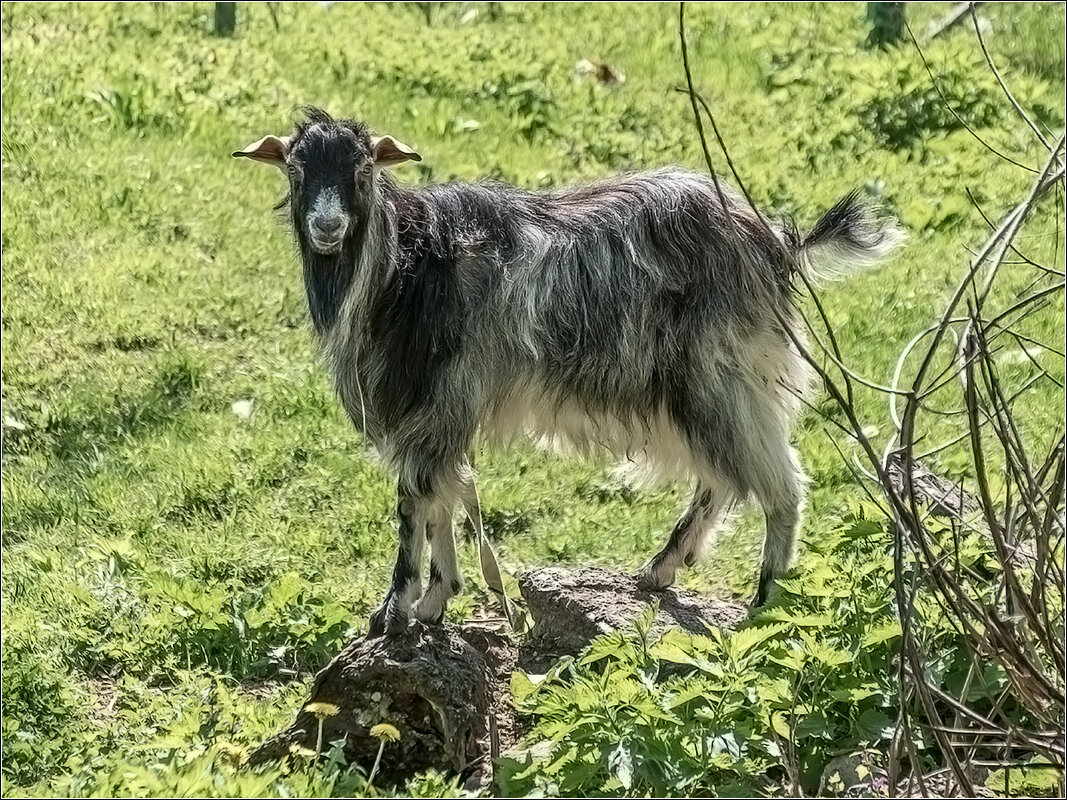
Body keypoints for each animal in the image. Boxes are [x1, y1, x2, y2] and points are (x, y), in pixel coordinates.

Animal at [233, 108, 900, 640]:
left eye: (364, 170)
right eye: (296, 170)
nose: (326, 227)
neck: (405, 267)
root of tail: (777, 243)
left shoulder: (434, 403)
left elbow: (415, 501)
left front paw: (396, 609)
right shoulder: (437, 414)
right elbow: (447, 494)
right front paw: (436, 600)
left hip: (722, 376)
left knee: (781, 485)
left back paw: (765, 600)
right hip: (700, 388)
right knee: (723, 479)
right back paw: (660, 570)